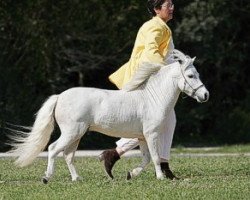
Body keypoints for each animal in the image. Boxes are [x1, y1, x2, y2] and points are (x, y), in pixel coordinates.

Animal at [8, 49, 208, 183]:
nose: (205, 95)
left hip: (77, 135)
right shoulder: (151, 134)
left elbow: (146, 158)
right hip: (72, 132)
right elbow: (156, 157)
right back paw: (47, 177)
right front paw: (160, 177)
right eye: (191, 75)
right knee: (53, 148)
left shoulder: (142, 137)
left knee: (68, 155)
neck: (152, 98)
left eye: (198, 73)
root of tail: (59, 97)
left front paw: (130, 174)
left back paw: (77, 179)